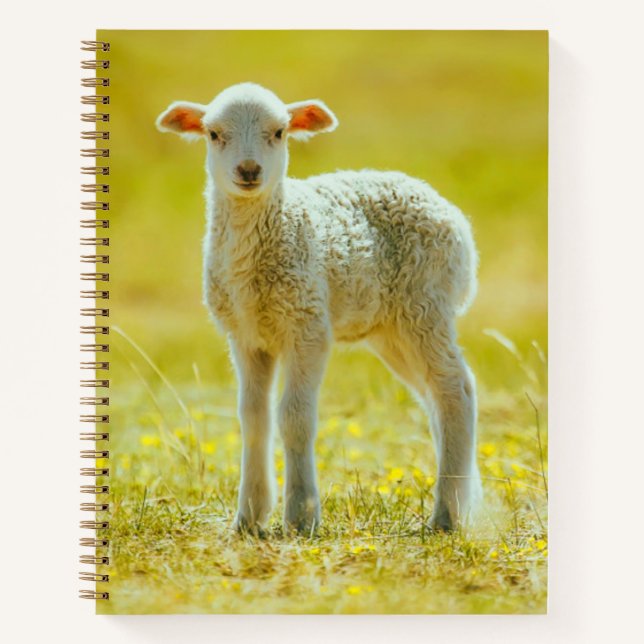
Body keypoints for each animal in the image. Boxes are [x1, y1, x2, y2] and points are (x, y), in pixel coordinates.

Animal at [156, 82, 482, 535]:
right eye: (213, 134)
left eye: (280, 132)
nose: (249, 170)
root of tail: (449, 211)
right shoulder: (245, 335)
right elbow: (253, 419)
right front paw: (249, 517)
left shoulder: (307, 325)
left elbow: (294, 418)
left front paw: (301, 516)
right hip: (392, 328)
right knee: (435, 396)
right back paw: (461, 500)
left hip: (426, 304)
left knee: (456, 390)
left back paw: (446, 516)